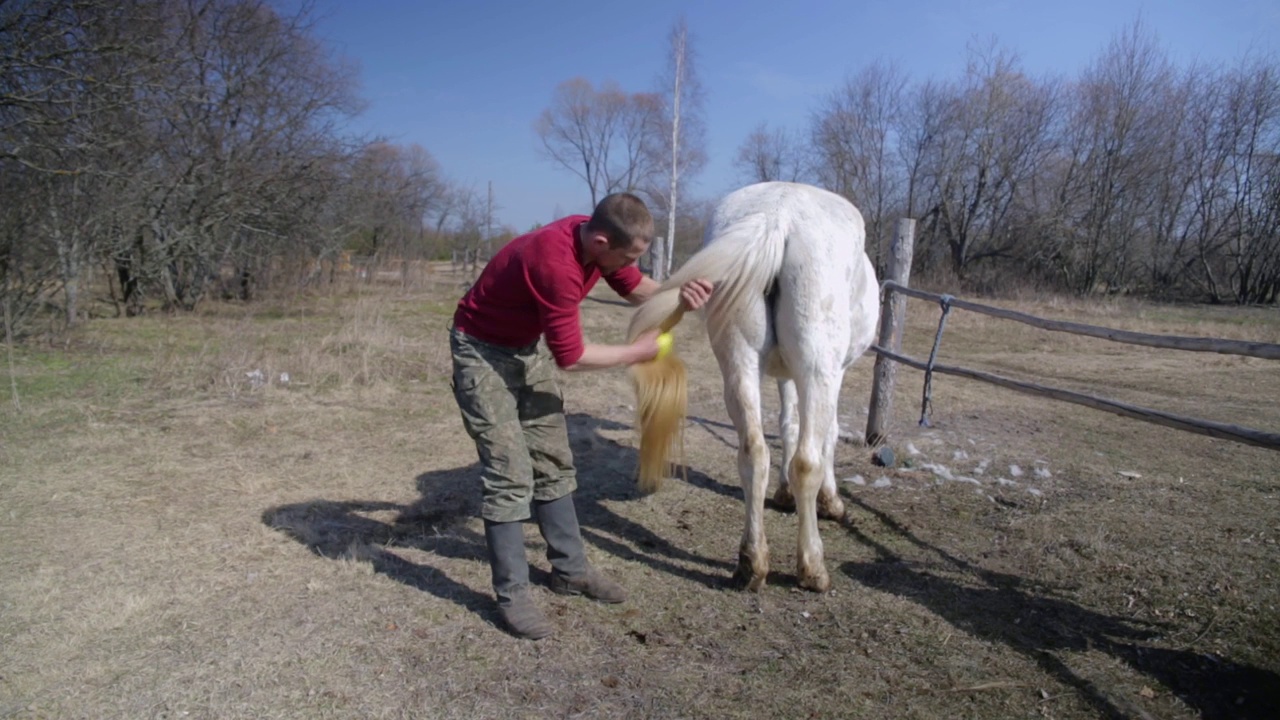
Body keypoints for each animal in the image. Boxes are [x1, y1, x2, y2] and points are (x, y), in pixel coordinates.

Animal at [627, 179, 880, 589]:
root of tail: (778, 217)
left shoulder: (785, 375)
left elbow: (787, 425)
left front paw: (783, 494)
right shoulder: (832, 372)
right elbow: (826, 435)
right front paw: (831, 503)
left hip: (739, 363)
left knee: (753, 452)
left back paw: (752, 561)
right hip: (817, 368)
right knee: (807, 461)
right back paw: (812, 567)